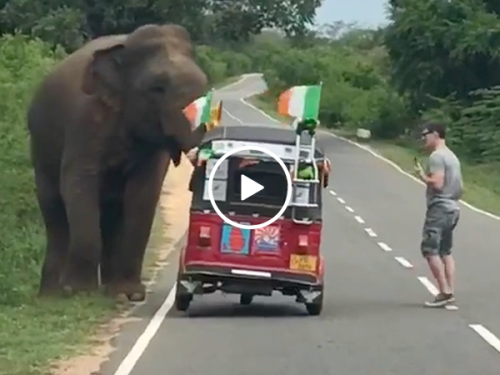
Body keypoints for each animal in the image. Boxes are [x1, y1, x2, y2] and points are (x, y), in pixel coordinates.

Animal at [28, 23, 208, 302]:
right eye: (157, 88)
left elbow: (143, 193)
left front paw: (130, 295)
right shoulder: (85, 119)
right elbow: (78, 184)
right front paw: (77, 292)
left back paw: (108, 291)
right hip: (40, 147)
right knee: (55, 212)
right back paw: (51, 295)